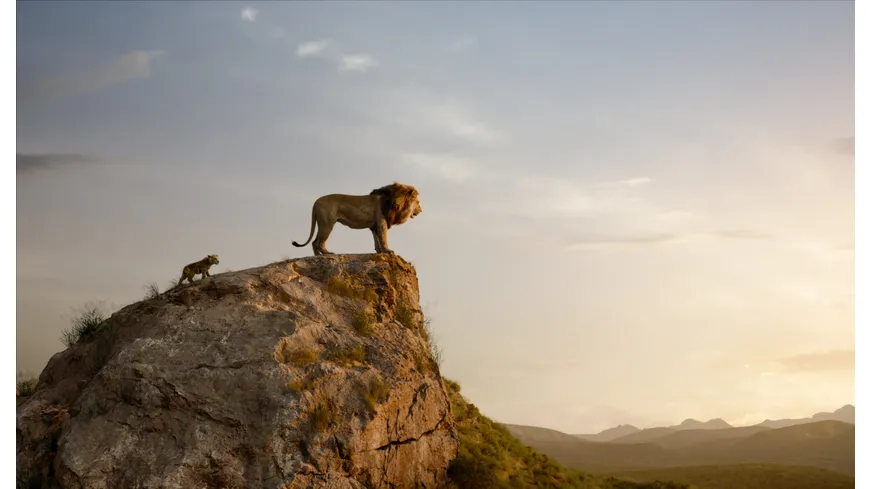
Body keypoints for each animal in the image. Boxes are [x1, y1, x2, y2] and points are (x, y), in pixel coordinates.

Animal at [292, 182, 423, 256]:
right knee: (319, 242)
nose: (421, 210)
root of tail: (315, 202)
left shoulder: (374, 225)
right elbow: (384, 237)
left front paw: (379, 251)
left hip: (322, 223)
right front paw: (388, 251)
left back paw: (318, 256)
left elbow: (377, 239)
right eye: (418, 202)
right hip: (327, 223)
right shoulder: (382, 221)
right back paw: (327, 253)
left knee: (314, 242)